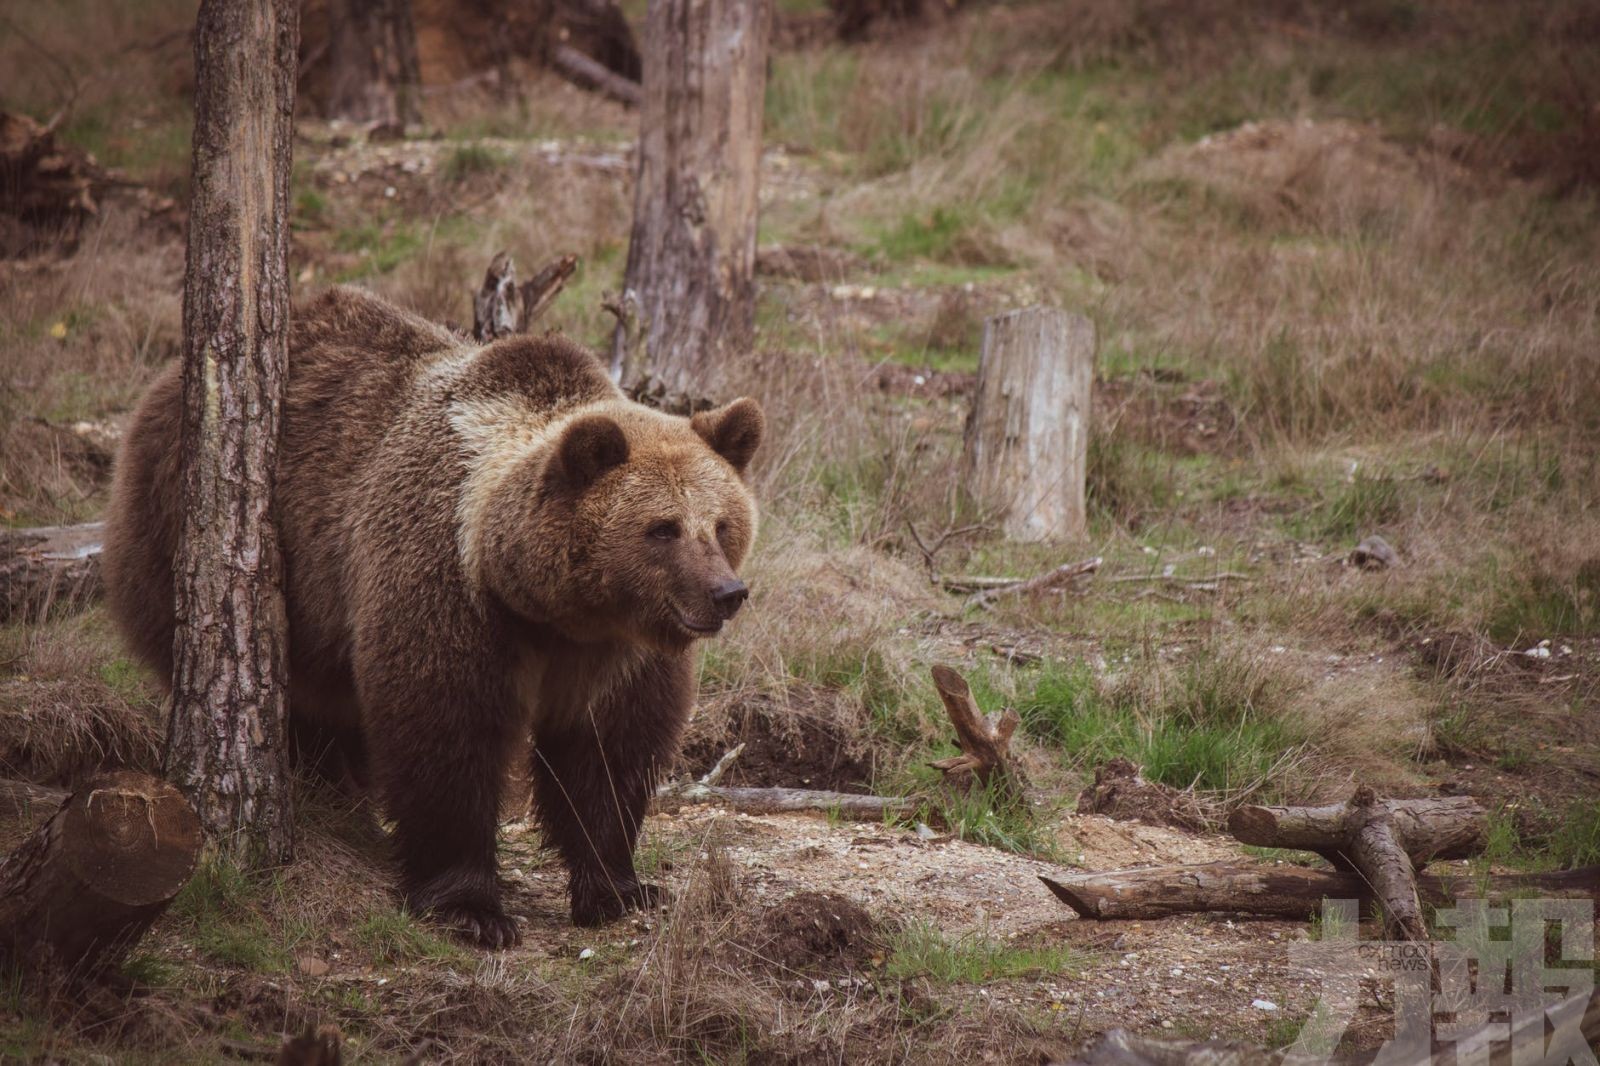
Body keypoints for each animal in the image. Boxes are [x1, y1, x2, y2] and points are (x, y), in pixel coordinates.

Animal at [103, 281, 764, 941]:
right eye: (663, 528)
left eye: (721, 524)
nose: (726, 593)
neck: (548, 608)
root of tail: (163, 386)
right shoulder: (446, 588)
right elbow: (444, 732)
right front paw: (471, 907)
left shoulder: (617, 652)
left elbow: (607, 753)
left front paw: (620, 888)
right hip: (196, 535)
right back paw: (331, 789)